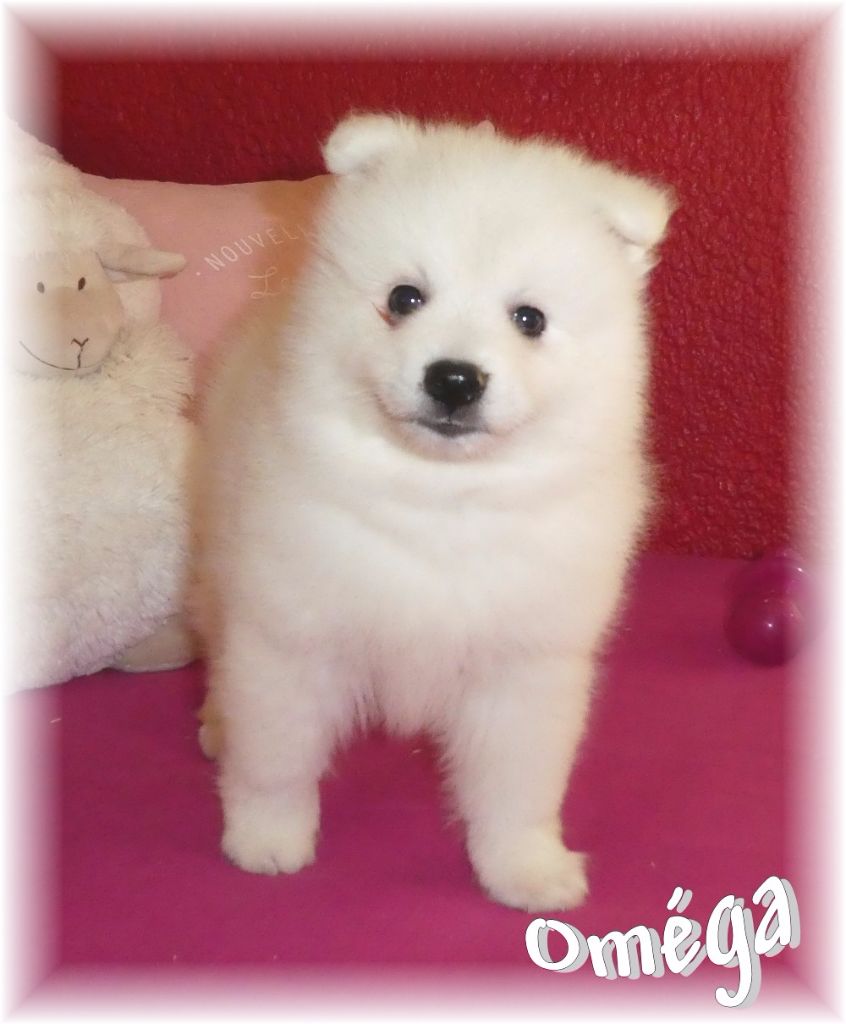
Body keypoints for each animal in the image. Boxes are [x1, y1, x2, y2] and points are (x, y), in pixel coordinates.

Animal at [194, 113, 673, 911]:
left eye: (529, 319)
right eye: (405, 298)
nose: (454, 378)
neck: (443, 499)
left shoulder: (526, 665)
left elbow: (518, 786)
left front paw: (524, 867)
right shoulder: (289, 634)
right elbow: (277, 753)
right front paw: (267, 837)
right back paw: (214, 722)